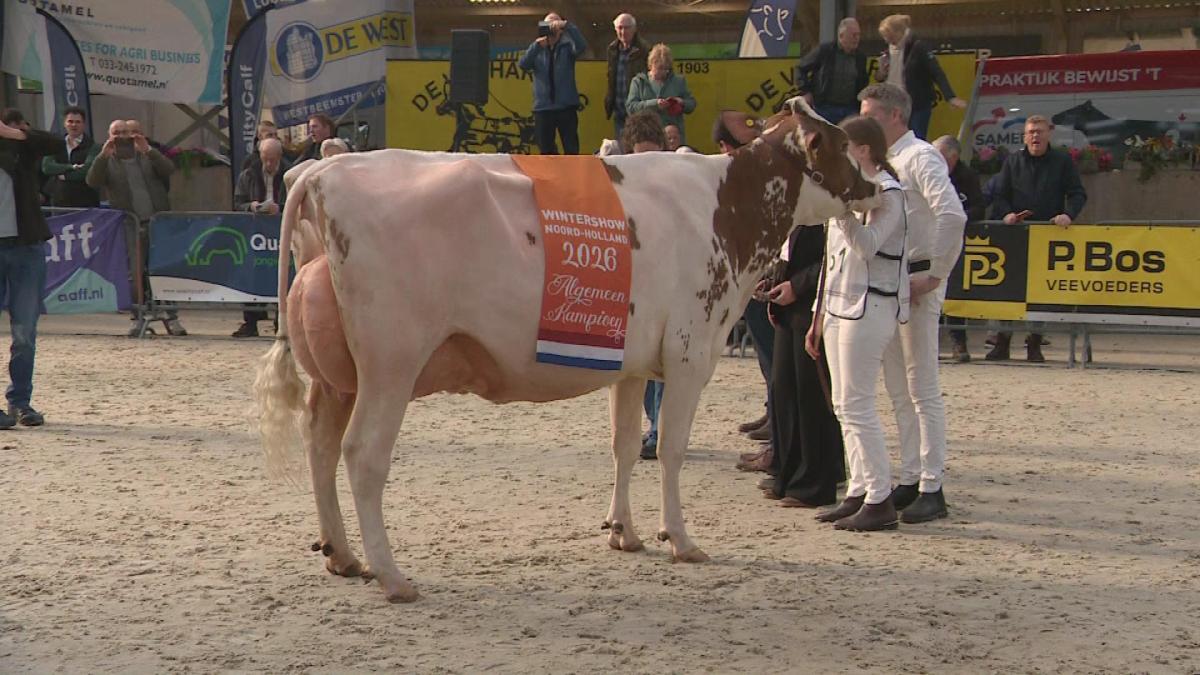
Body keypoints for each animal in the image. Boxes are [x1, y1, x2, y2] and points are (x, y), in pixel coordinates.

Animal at [254, 98, 877, 603]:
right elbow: (671, 450)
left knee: (320, 443)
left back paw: (342, 555)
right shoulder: (689, 352)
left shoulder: (633, 363)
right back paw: (392, 575)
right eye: (840, 143)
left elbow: (625, 445)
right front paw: (680, 538)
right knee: (362, 454)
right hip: (391, 362)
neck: (725, 211)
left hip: (340, 374)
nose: (878, 184)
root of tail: (325, 166)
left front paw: (624, 532)